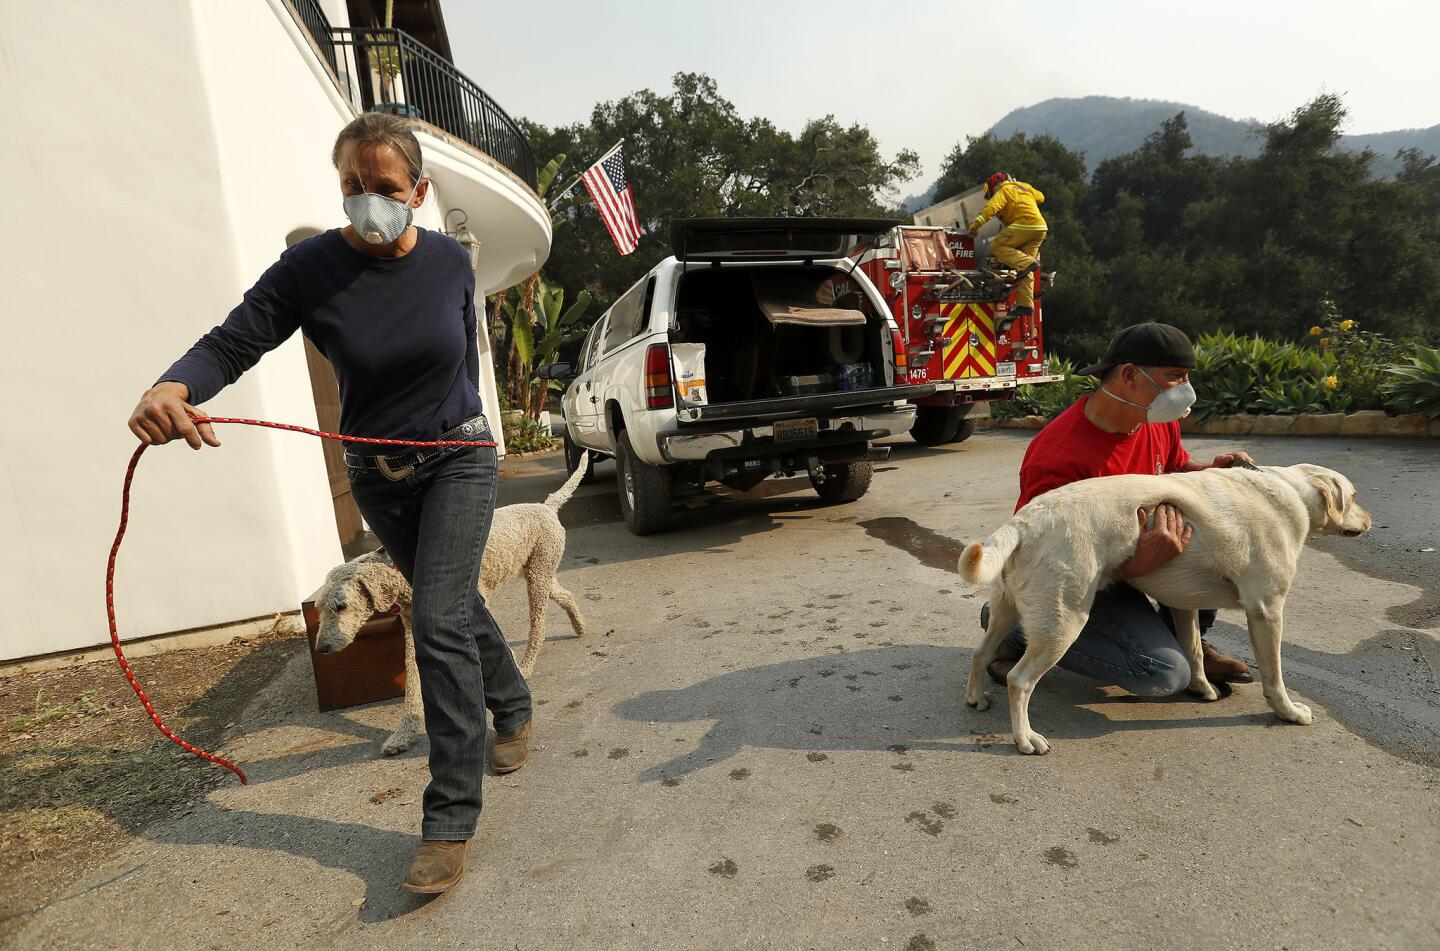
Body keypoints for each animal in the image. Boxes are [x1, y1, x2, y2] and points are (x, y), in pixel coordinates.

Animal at [961, 463, 1365, 755]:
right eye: (1355, 495)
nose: (1370, 519)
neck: (1290, 491)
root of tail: (1025, 520)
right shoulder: (1267, 610)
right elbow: (1274, 676)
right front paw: (1289, 712)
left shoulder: (1183, 603)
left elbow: (1195, 652)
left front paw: (1203, 688)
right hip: (1065, 622)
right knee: (1019, 680)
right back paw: (1025, 739)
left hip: (1007, 609)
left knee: (981, 652)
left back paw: (976, 696)